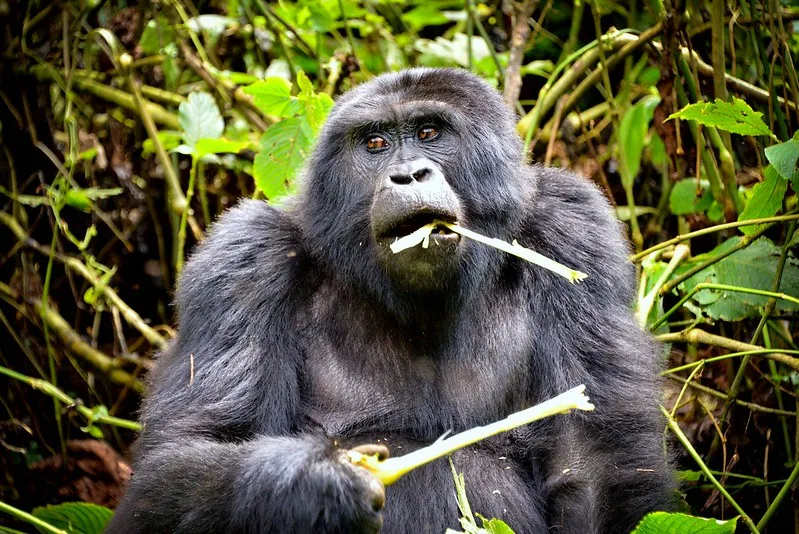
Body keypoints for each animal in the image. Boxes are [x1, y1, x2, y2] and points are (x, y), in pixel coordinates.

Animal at [108, 69, 676, 532]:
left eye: (429, 133)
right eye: (376, 143)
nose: (406, 175)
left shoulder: (573, 229)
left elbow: (599, 470)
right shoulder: (245, 257)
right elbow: (180, 461)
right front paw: (310, 488)